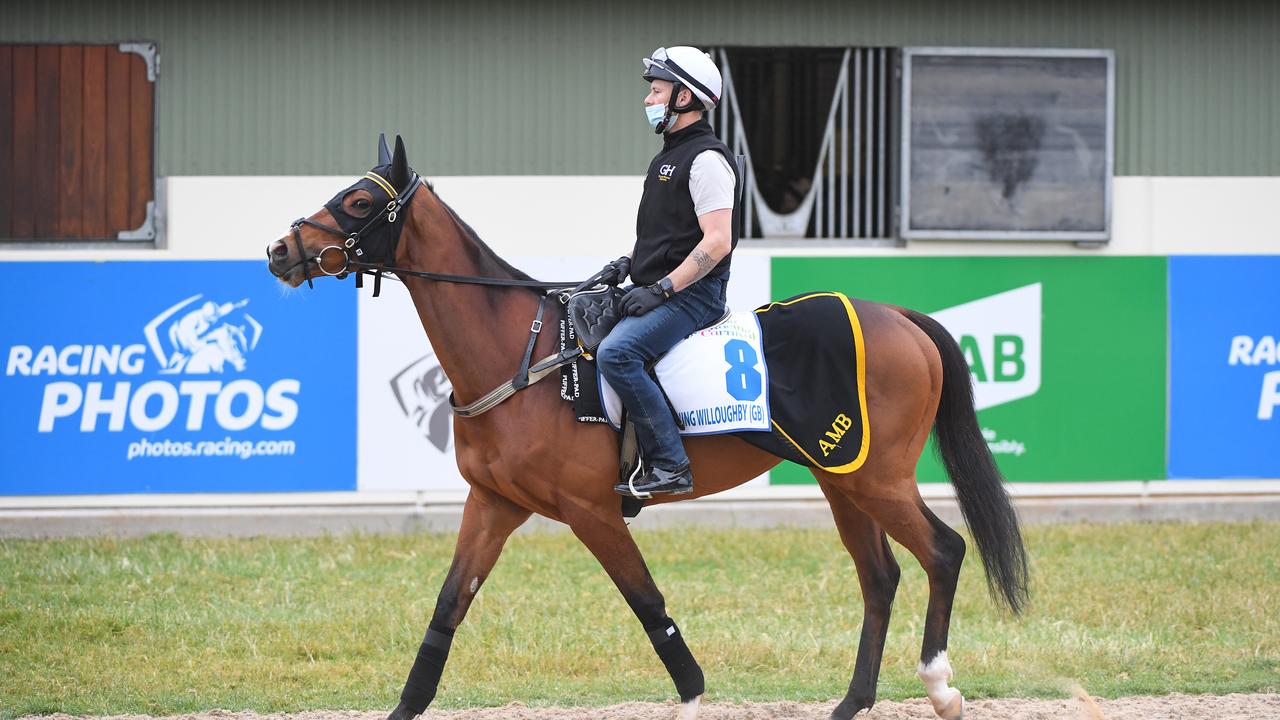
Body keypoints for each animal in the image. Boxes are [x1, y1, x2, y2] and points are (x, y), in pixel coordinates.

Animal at [264, 135, 1024, 717]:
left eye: (359, 203)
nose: (279, 250)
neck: (526, 354)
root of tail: (899, 317)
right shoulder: (494, 505)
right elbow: (446, 612)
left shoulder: (592, 511)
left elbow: (651, 608)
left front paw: (692, 697)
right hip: (842, 477)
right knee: (880, 576)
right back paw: (852, 702)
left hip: (878, 478)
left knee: (943, 551)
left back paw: (940, 685)